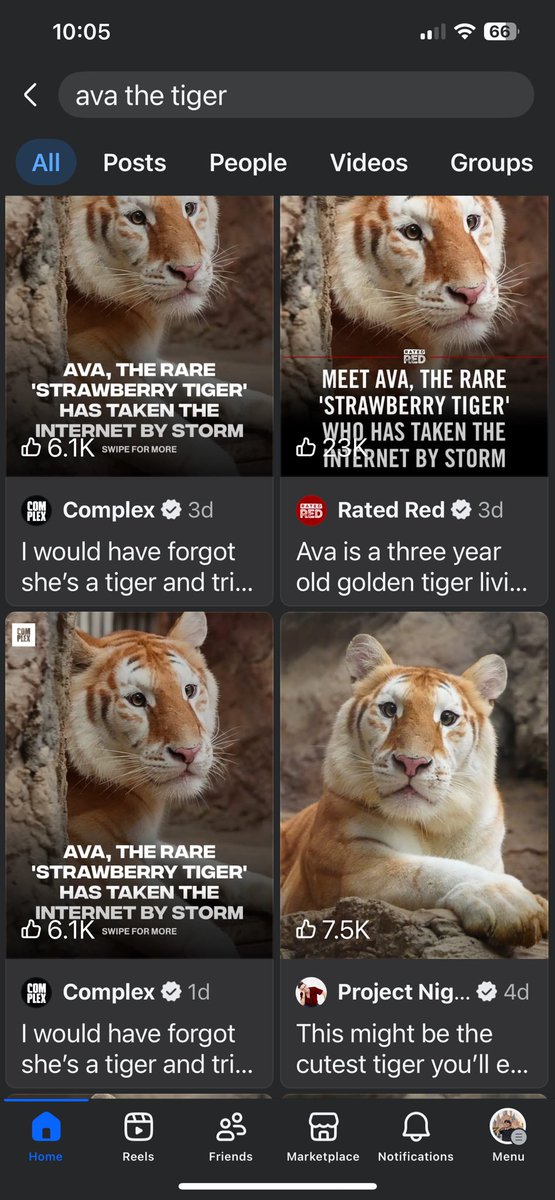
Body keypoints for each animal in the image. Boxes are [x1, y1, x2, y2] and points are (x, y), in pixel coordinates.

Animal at [281, 635, 548, 948]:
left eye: (447, 717)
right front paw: (511, 902)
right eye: (389, 710)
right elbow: (428, 871)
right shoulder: (347, 863)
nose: (411, 762)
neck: (432, 826)